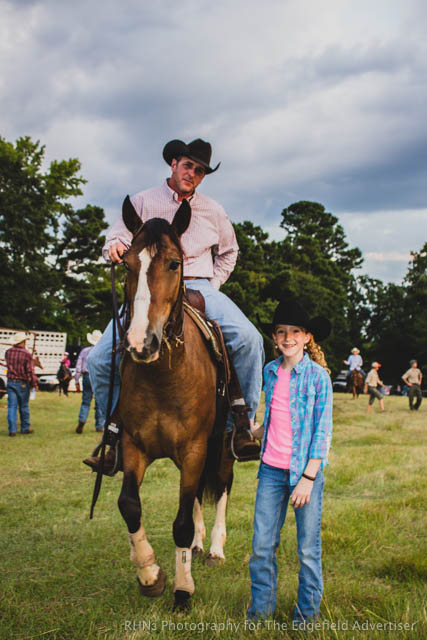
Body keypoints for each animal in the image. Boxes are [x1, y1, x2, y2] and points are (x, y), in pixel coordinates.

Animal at [116, 195, 234, 608]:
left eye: (174, 263)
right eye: (126, 263)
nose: (140, 342)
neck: (164, 377)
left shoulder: (196, 448)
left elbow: (180, 522)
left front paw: (183, 591)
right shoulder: (133, 445)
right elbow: (129, 505)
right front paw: (149, 572)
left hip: (222, 447)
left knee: (223, 487)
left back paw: (214, 548)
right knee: (196, 495)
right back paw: (197, 546)